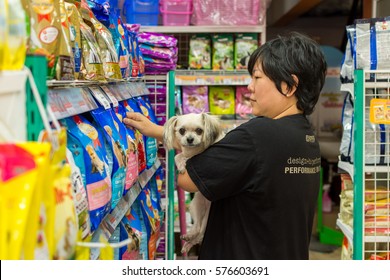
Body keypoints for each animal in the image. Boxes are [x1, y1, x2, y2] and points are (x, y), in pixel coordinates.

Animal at [163, 112, 224, 254]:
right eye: (182, 130)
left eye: (199, 130)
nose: (190, 139)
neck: (195, 151)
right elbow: (177, 156)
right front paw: (180, 165)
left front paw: (184, 163)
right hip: (196, 204)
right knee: (196, 227)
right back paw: (188, 238)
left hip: (206, 217)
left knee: (201, 234)